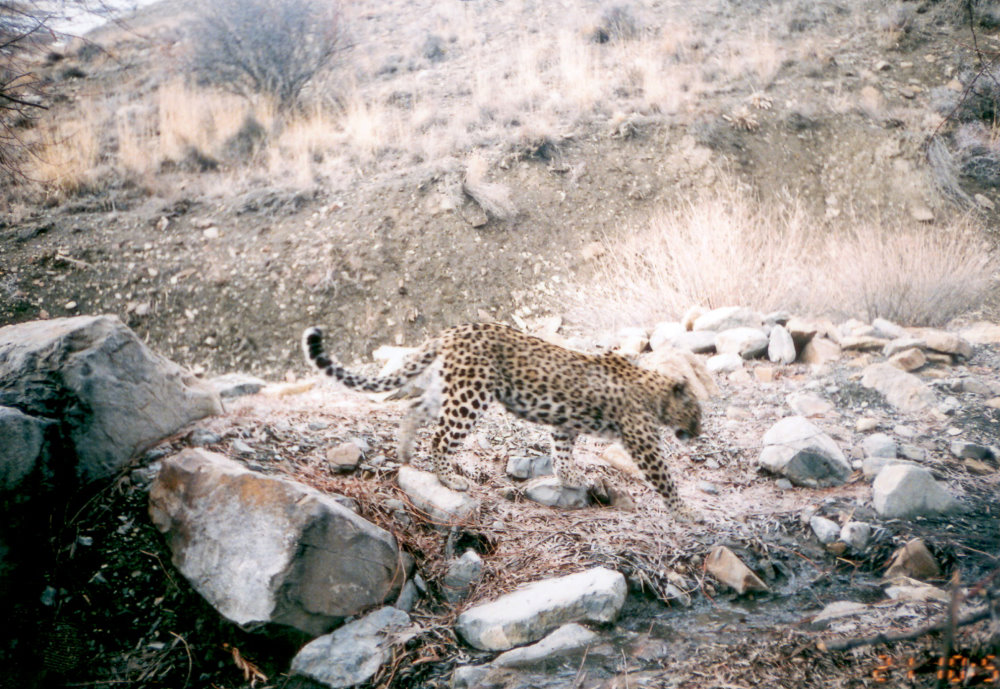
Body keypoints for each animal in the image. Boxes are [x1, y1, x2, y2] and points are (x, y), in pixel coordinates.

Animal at [302, 322, 702, 519]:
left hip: (447, 389)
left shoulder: (565, 424)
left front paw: (570, 476)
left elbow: (562, 449)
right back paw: (450, 479)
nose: (698, 433)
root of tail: (452, 330)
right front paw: (686, 513)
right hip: (471, 396)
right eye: (696, 413)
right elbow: (665, 478)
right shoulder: (644, 443)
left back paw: (404, 454)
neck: (655, 393)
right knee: (441, 438)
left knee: (414, 410)